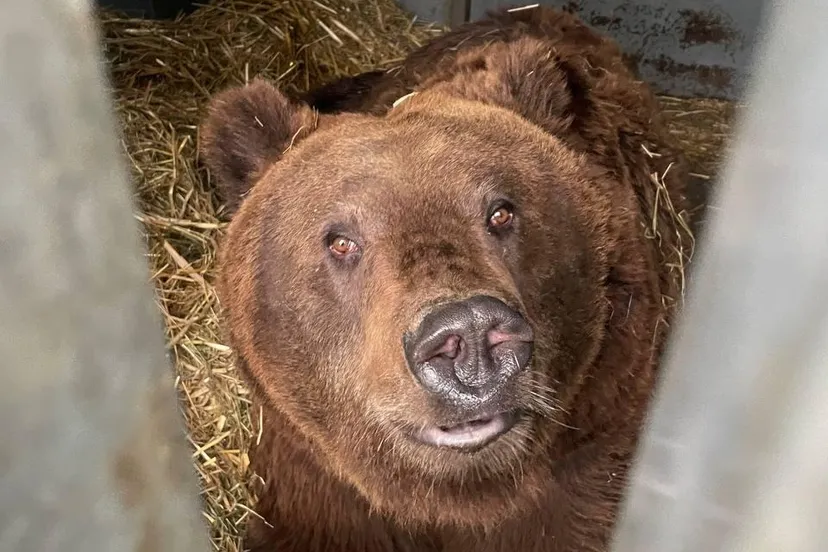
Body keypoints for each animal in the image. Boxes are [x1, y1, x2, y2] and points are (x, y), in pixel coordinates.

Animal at [198, 5, 693, 552]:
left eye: (501, 212)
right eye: (341, 240)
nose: (471, 332)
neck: (454, 497)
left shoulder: (598, 447)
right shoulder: (315, 483)